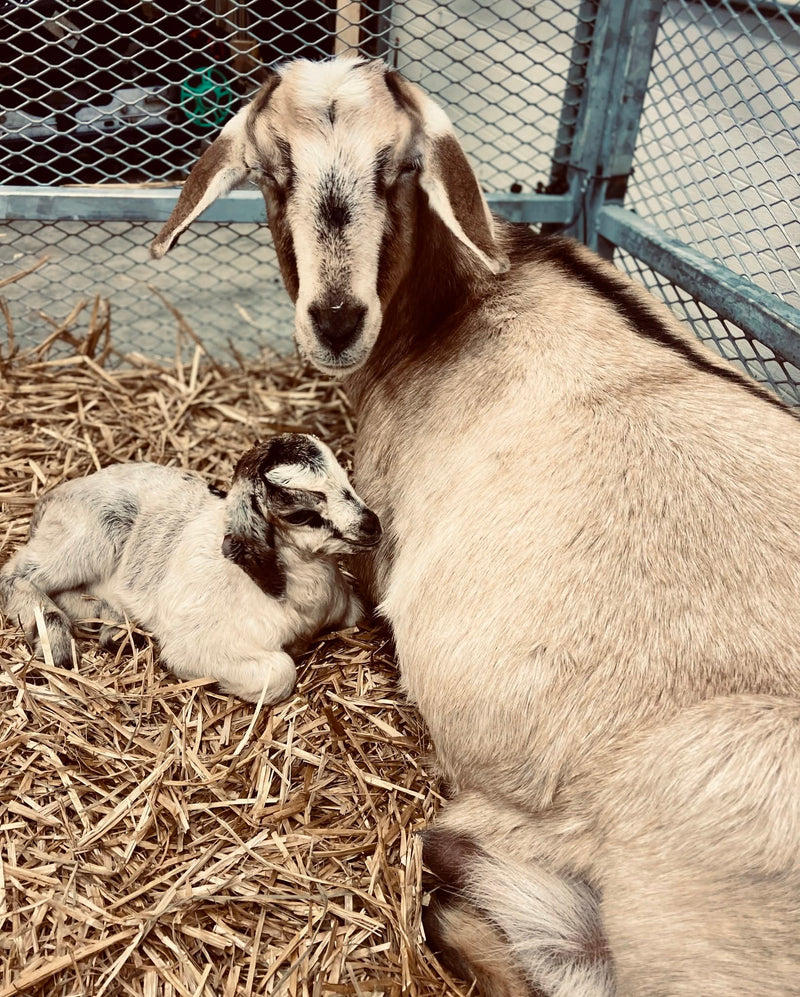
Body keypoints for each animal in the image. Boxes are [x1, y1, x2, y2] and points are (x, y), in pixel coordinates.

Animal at [1, 433, 381, 703]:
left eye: (346, 479)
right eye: (300, 514)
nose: (372, 527)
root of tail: (54, 496)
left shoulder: (347, 607)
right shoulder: (196, 645)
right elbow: (279, 675)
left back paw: (111, 627)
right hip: (89, 537)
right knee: (17, 573)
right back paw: (55, 639)